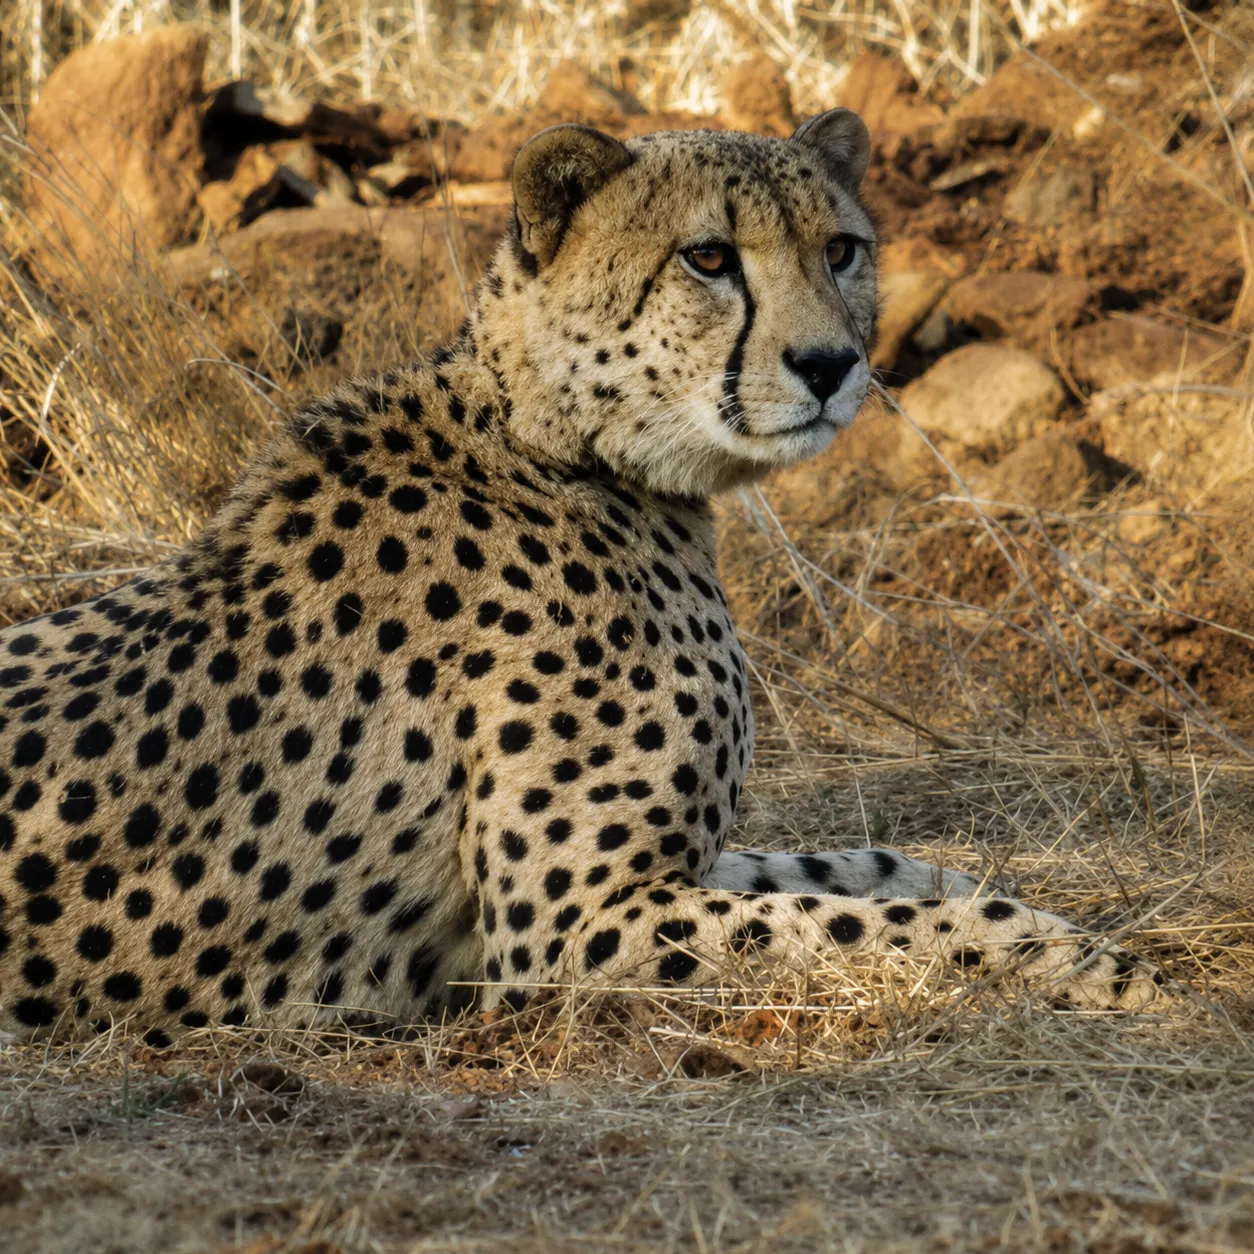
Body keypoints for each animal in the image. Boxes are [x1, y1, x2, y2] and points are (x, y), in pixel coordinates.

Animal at [0, 111, 1163, 1044]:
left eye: (840, 250)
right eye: (708, 258)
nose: (832, 367)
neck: (566, 445)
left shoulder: (669, 868)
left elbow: (853, 869)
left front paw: (991, 895)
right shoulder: (573, 924)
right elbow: (856, 921)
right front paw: (1085, 964)